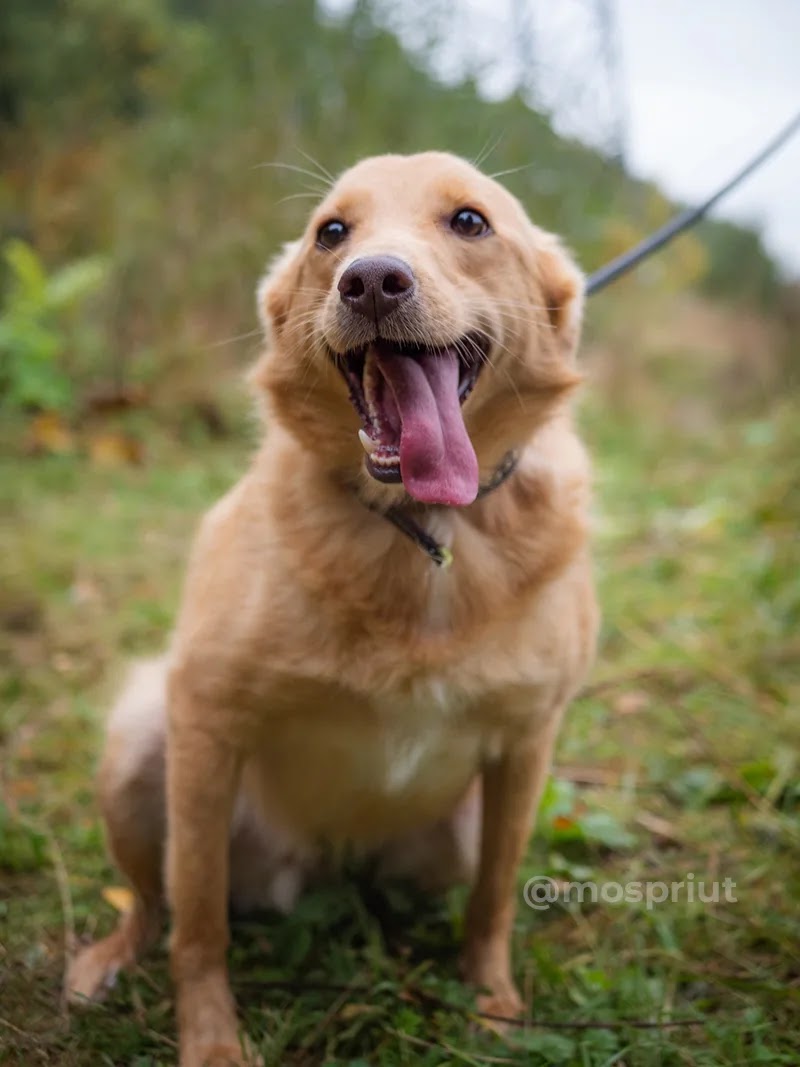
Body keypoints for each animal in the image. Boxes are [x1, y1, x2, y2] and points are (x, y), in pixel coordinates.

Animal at [67, 152, 597, 1067]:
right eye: (332, 232)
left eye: (470, 221)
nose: (372, 281)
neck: (426, 528)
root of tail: (326, 861)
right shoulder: (205, 718)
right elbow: (197, 920)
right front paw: (210, 1036)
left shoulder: (528, 742)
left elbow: (495, 897)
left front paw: (492, 1001)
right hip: (141, 741)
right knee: (151, 900)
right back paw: (109, 958)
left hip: (453, 829)